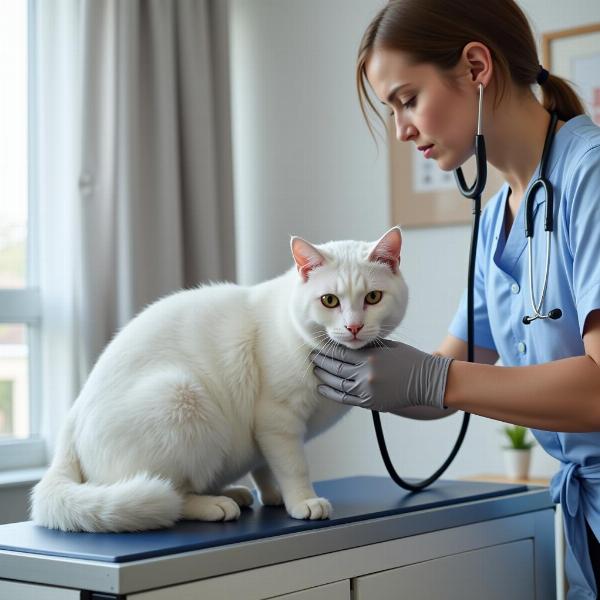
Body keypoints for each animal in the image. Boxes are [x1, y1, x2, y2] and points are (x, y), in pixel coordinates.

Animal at [31, 227, 408, 532]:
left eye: (373, 297)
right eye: (329, 300)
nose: (354, 326)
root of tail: (71, 420)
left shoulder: (262, 433)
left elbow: (265, 466)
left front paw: (273, 495)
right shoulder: (277, 420)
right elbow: (293, 466)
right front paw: (302, 501)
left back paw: (235, 493)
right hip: (181, 395)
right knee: (170, 496)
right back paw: (215, 504)